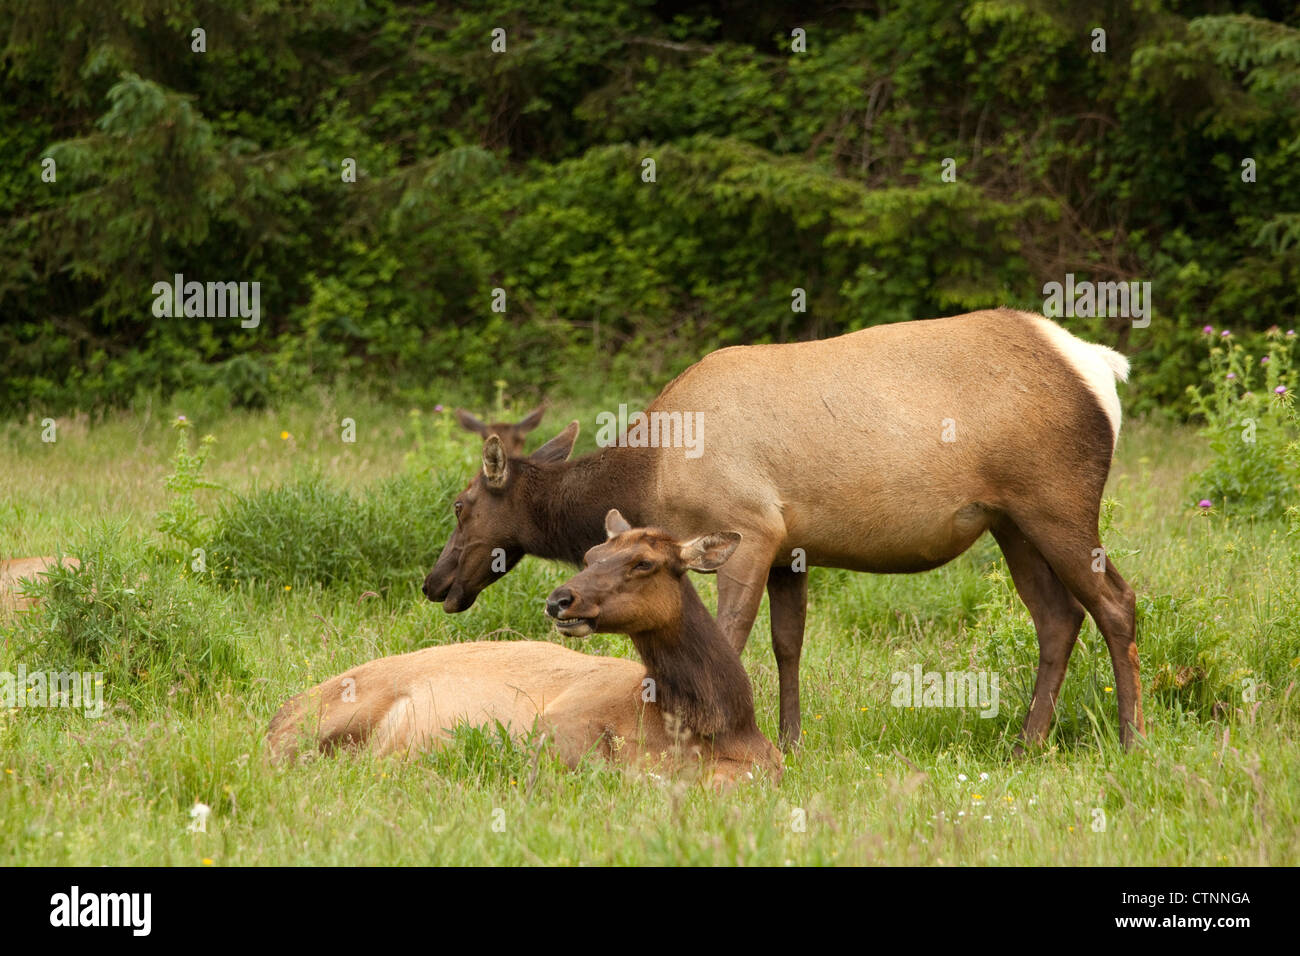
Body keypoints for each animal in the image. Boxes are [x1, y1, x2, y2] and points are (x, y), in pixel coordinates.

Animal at [261, 509, 769, 785]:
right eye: (591, 556)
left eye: (644, 562)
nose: (559, 599)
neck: (720, 721)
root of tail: (277, 715)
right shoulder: (559, 722)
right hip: (323, 721)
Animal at [421, 310, 1144, 749]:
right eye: (595, 548)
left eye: (460, 505)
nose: (434, 581)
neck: (651, 470)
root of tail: (1102, 368)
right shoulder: (790, 549)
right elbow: (788, 644)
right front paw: (793, 740)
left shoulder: (748, 529)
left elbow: (732, 636)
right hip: (1010, 521)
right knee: (1057, 617)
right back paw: (1027, 741)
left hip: (1056, 500)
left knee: (1116, 602)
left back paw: (1132, 738)